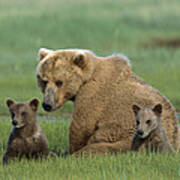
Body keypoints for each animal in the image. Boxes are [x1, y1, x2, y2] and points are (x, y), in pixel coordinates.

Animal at [36, 48, 179, 155]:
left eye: (59, 82)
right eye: (43, 81)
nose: (47, 104)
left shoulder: (92, 94)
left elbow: (81, 126)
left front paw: (70, 150)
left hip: (132, 138)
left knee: (98, 148)